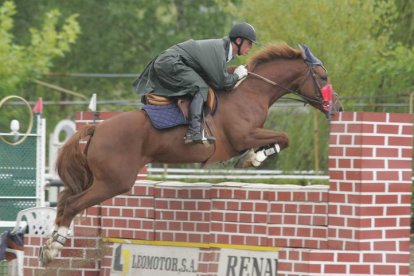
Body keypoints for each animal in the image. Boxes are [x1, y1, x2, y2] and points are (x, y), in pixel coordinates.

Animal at [38, 43, 342, 266]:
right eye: (323, 77)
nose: (337, 108)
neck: (252, 92)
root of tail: (96, 129)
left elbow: (281, 138)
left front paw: (253, 157)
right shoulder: (244, 136)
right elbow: (283, 137)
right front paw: (253, 158)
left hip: (98, 179)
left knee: (64, 200)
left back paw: (49, 245)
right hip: (114, 182)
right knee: (72, 204)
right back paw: (54, 249)